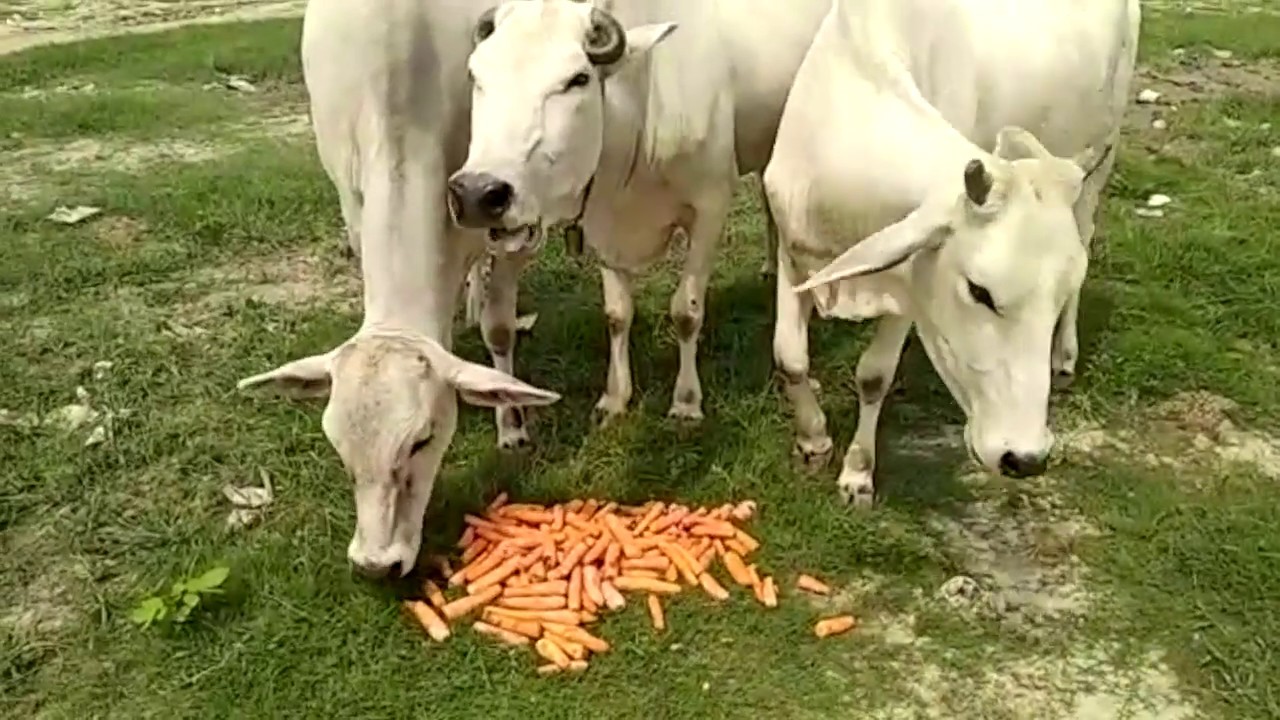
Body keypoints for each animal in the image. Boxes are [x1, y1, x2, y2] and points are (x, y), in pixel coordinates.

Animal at [235, 0, 563, 579]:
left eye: (422, 440)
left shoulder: (496, 213)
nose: (376, 563)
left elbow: (500, 330)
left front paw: (512, 428)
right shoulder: (352, 198)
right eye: (337, 446)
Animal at [447, 0, 831, 428]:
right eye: (475, 74)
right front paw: (615, 397)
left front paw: (686, 401)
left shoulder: (710, 208)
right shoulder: (604, 223)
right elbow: (617, 314)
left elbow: (686, 311)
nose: (476, 194)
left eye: (578, 79)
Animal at [762, 0, 1140, 505]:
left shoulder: (910, 290)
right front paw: (813, 441)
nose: (1026, 458)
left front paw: (858, 473)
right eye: (979, 291)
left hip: (1099, 166)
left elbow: (873, 375)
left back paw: (1063, 355)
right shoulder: (793, 250)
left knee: (1087, 232)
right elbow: (790, 357)